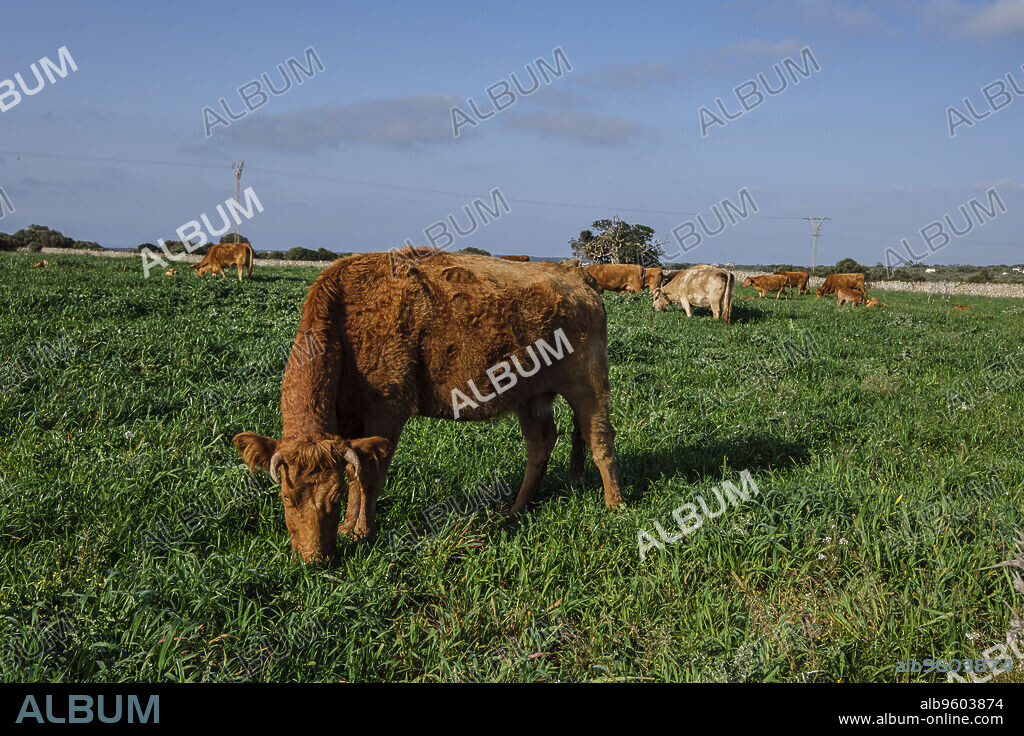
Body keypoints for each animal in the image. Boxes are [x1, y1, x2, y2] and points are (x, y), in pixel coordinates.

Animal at [234, 248, 624, 563]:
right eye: (286, 499)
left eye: (332, 498)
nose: (314, 559)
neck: (348, 314)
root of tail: (578, 274)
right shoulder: (348, 424)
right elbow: (356, 471)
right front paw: (348, 528)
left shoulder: (387, 413)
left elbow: (370, 478)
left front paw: (361, 532)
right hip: (531, 398)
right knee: (541, 444)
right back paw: (515, 509)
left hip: (588, 384)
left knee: (600, 439)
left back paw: (614, 504)